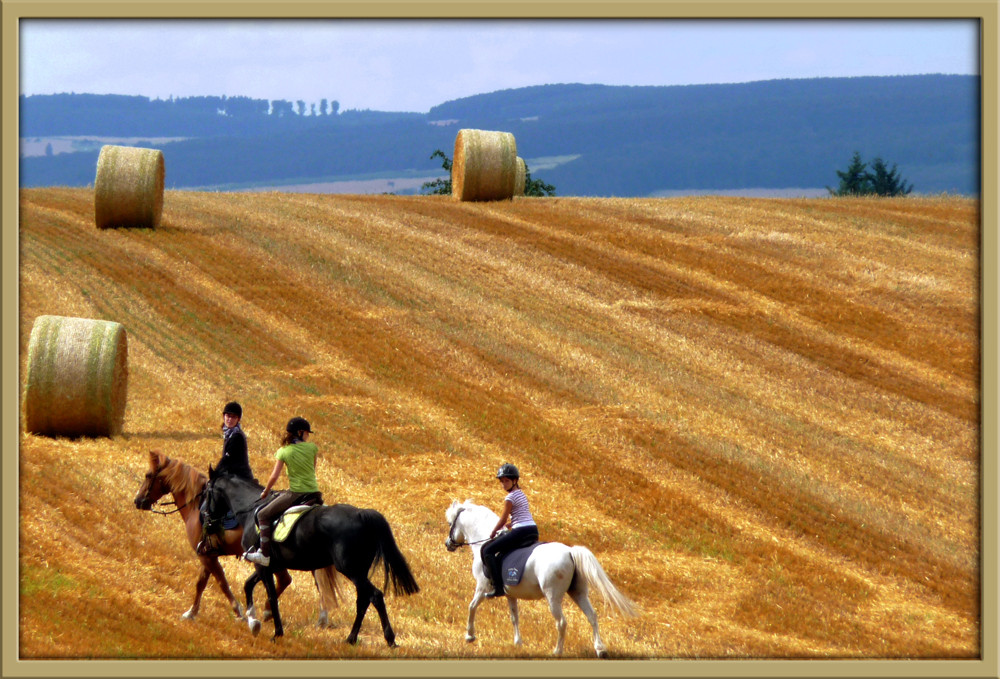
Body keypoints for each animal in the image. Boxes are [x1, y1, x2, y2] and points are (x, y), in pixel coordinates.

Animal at [133, 452, 340, 628]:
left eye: (148, 475)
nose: (138, 501)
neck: (197, 505)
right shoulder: (207, 553)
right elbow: (201, 583)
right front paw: (191, 612)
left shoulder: (206, 556)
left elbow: (221, 582)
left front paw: (239, 611)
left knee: (289, 579)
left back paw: (273, 612)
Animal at [201, 470, 420, 644]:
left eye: (206, 493)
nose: (206, 520)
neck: (250, 508)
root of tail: (361, 514)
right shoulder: (269, 565)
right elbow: (248, 585)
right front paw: (253, 619)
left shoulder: (262, 565)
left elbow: (271, 596)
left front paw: (274, 631)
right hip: (359, 570)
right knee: (363, 600)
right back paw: (351, 639)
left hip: (351, 569)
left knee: (375, 596)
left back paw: (389, 639)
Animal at [446, 500, 640, 660]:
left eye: (450, 523)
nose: (448, 544)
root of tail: (570, 552)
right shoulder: (510, 594)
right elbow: (514, 617)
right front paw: (518, 643)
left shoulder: (482, 586)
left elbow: (472, 606)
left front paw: (470, 636)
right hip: (578, 592)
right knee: (592, 616)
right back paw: (600, 650)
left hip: (552, 596)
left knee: (561, 622)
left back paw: (557, 652)